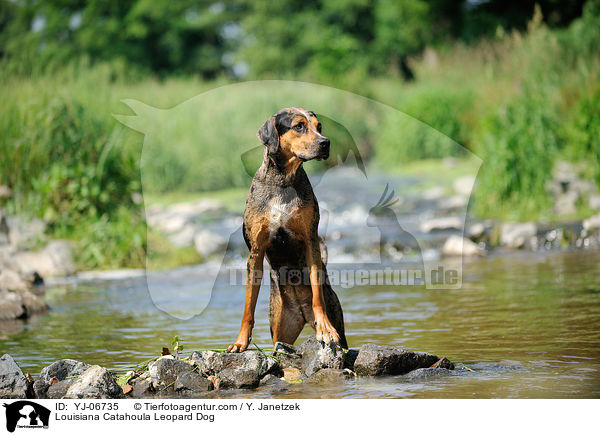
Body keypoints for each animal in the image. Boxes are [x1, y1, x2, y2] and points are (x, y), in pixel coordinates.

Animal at [225, 107, 346, 352]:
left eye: (319, 126)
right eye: (299, 126)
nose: (325, 143)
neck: (282, 181)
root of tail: (301, 311)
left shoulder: (310, 241)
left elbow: (318, 296)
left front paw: (325, 329)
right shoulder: (255, 252)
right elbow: (248, 306)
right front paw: (240, 342)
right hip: (280, 327)